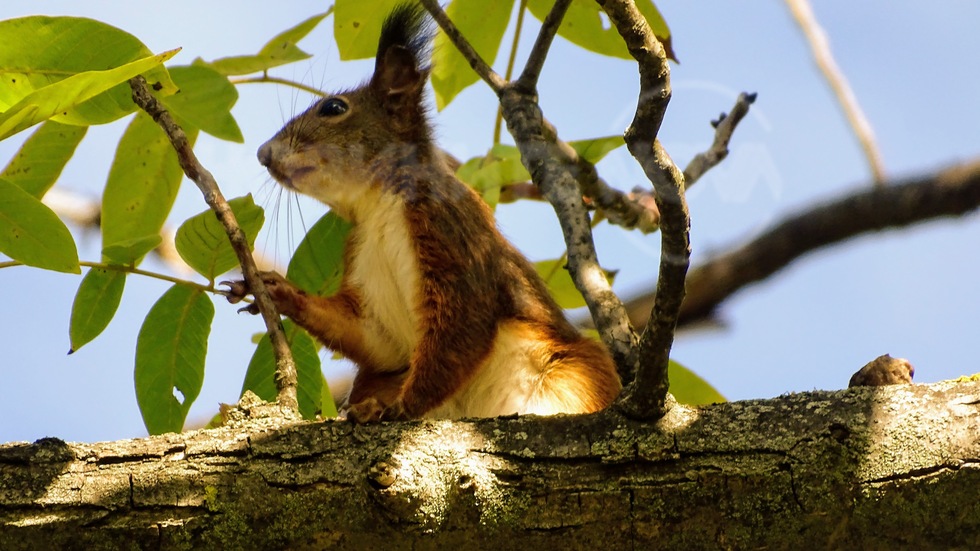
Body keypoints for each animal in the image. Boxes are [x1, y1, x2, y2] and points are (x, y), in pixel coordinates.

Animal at [234, 3, 620, 422]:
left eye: (333, 107)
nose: (263, 153)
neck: (377, 205)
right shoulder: (365, 266)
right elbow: (376, 340)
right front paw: (277, 289)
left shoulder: (449, 228)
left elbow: (461, 331)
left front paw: (400, 407)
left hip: (574, 373)